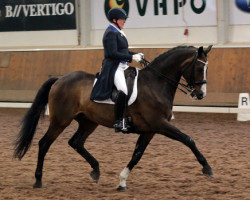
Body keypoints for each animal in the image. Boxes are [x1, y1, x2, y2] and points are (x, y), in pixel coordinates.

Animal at [13, 45, 213, 191]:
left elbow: (137, 155)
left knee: (76, 142)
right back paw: (38, 181)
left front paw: (122, 181)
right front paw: (207, 168)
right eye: (199, 67)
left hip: (88, 122)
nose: (200, 94)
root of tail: (59, 80)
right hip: (60, 121)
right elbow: (188, 139)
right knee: (44, 144)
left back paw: (95, 170)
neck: (155, 84)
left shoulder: (150, 130)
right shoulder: (159, 124)